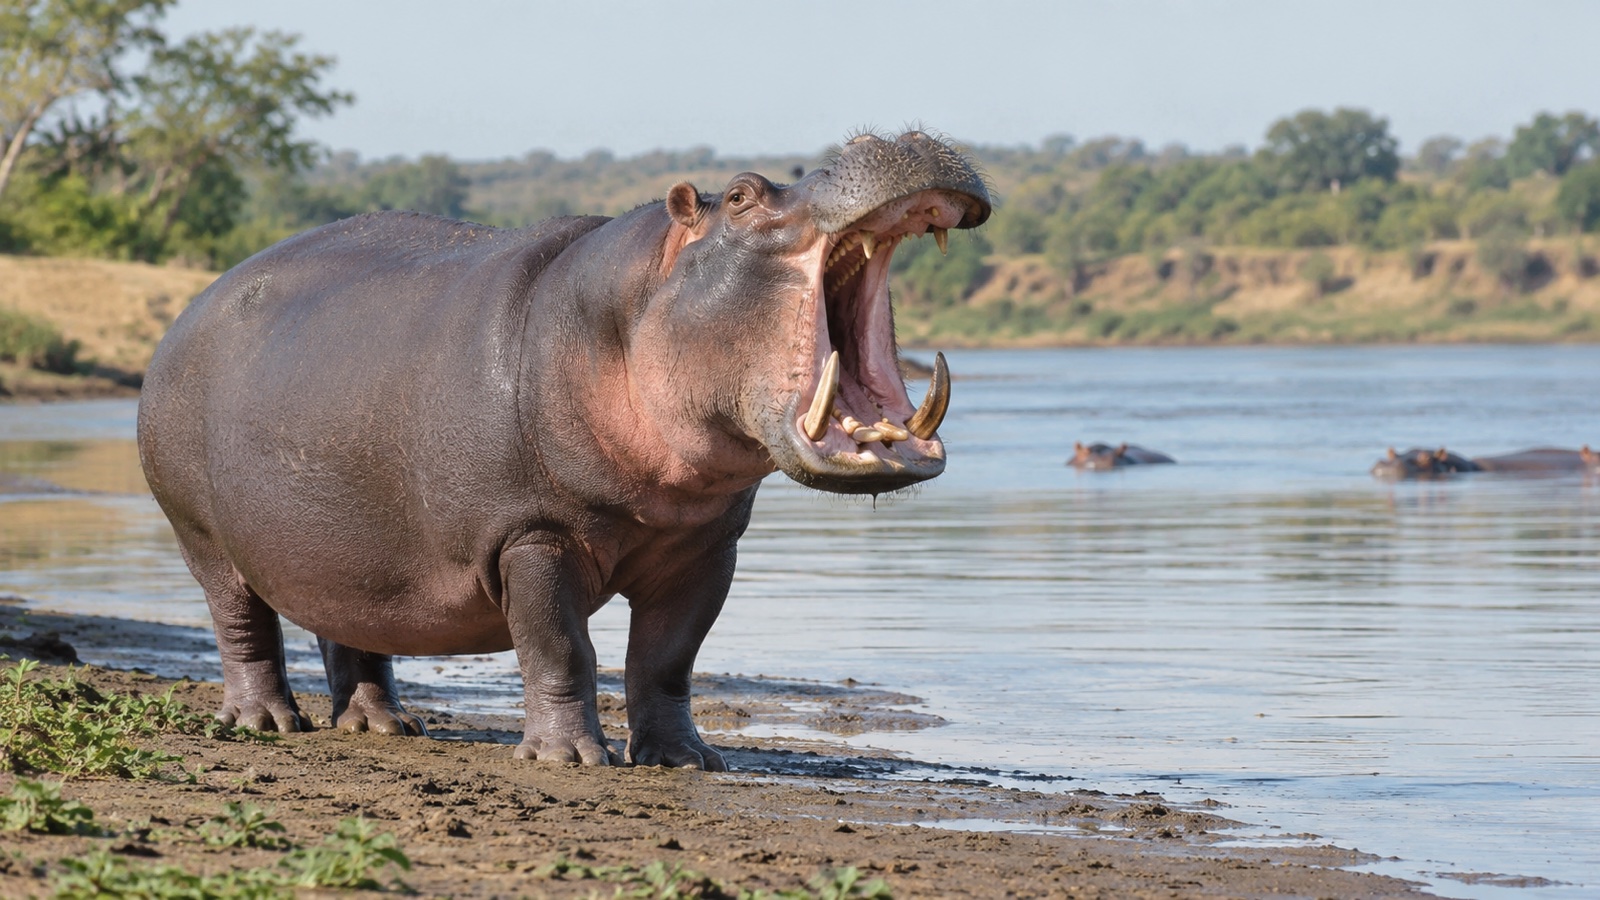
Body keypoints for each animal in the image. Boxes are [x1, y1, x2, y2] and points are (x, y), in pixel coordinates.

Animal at [137, 130, 991, 770]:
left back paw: (383, 726)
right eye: (745, 194)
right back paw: (263, 723)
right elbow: (559, 647)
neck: (634, 304)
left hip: (346, 545)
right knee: (241, 623)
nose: (898, 137)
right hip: (202, 532)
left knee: (348, 627)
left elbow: (667, 658)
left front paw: (684, 760)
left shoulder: (706, 546)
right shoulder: (530, 534)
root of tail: (188, 312)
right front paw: (570, 759)